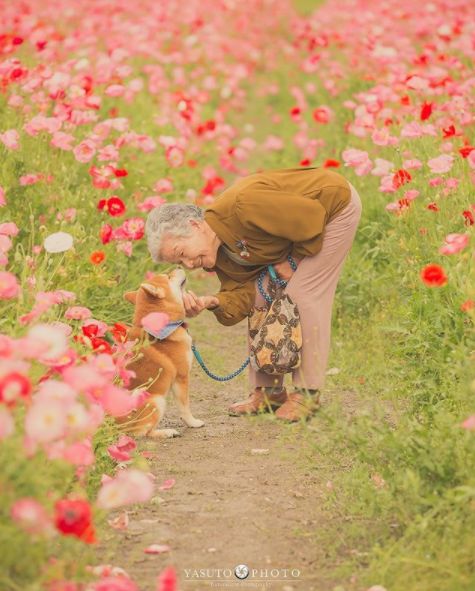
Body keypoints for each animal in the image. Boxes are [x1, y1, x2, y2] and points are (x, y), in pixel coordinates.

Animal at [116, 268, 205, 440]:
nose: (179, 266)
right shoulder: (181, 378)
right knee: (142, 433)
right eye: (168, 277)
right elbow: (185, 407)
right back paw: (166, 432)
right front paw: (193, 423)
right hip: (157, 400)